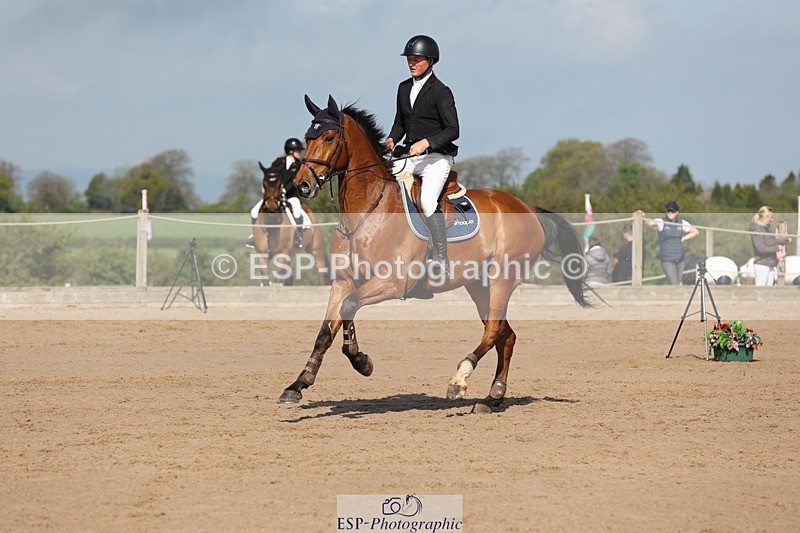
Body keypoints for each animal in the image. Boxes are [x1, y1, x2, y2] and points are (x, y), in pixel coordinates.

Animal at [277, 94, 591, 413]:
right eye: (307, 137)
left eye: (329, 137)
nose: (302, 185)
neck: (368, 211)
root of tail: (527, 208)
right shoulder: (343, 282)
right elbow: (328, 329)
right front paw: (298, 385)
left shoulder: (391, 283)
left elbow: (349, 307)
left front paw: (360, 360)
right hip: (479, 285)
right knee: (506, 334)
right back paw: (492, 396)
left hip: (503, 280)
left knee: (493, 331)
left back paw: (460, 379)